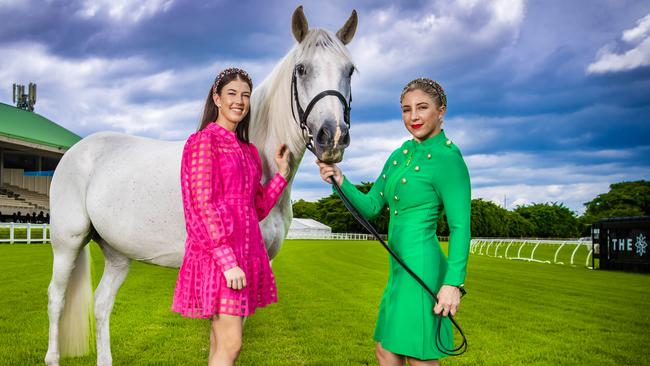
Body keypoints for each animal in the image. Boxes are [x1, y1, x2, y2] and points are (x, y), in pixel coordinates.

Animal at [44, 6, 360, 366]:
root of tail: (77, 151)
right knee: (56, 299)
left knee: (101, 304)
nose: (332, 136)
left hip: (117, 254)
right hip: (67, 243)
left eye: (350, 70)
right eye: (302, 69)